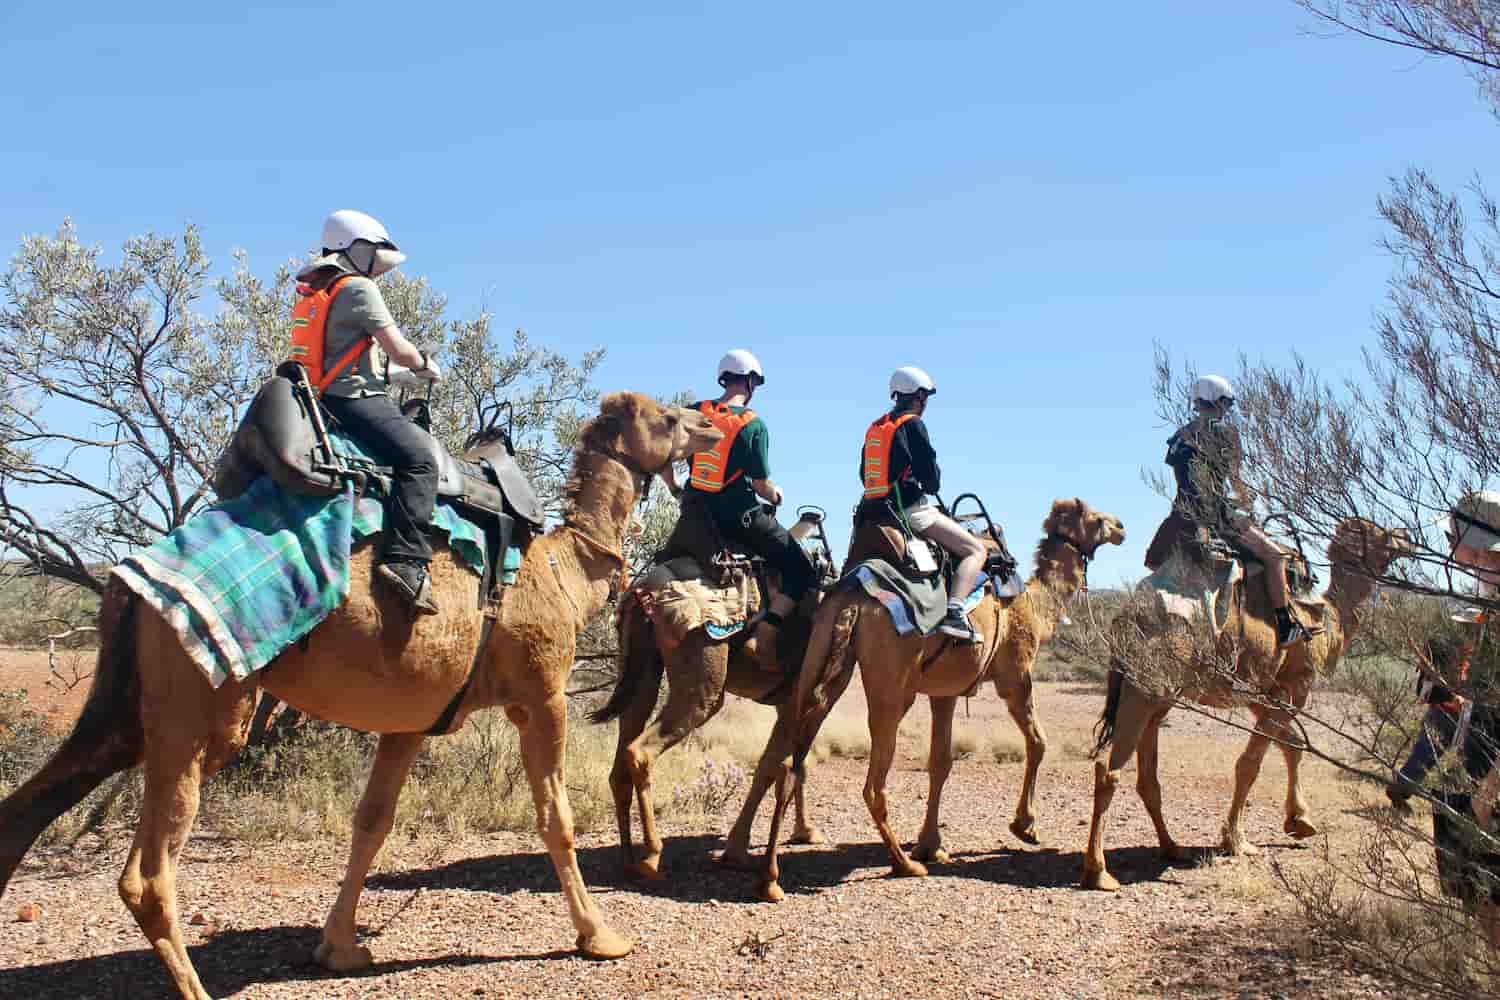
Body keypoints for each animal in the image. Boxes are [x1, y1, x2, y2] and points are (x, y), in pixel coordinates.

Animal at [0, 392, 720, 1000]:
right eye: (666, 417)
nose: (710, 426)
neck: (566, 570)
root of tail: (128, 580)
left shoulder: (414, 716)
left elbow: (372, 822)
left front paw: (340, 948)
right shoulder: (542, 694)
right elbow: (557, 820)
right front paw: (601, 936)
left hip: (123, 706)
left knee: (24, 812)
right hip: (198, 701)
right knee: (146, 876)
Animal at [726, 497, 1128, 899]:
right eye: (1097, 519)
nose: (1121, 527)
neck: (1034, 605)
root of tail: (853, 599)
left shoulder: (944, 691)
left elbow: (940, 762)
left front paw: (931, 844)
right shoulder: (1015, 676)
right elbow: (1038, 742)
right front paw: (1024, 827)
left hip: (822, 661)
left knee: (787, 764)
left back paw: (768, 877)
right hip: (892, 686)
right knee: (871, 784)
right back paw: (903, 864)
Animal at [1080, 515, 1416, 893]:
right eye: (1379, 532)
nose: (1407, 535)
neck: (1328, 619)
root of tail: (1126, 616)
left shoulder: (1262, 692)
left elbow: (1292, 745)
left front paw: (1300, 821)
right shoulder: (1294, 686)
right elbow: (1250, 764)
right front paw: (1237, 841)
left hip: (1160, 694)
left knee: (1147, 776)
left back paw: (1172, 847)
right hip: (1145, 687)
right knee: (1108, 770)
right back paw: (1099, 872)